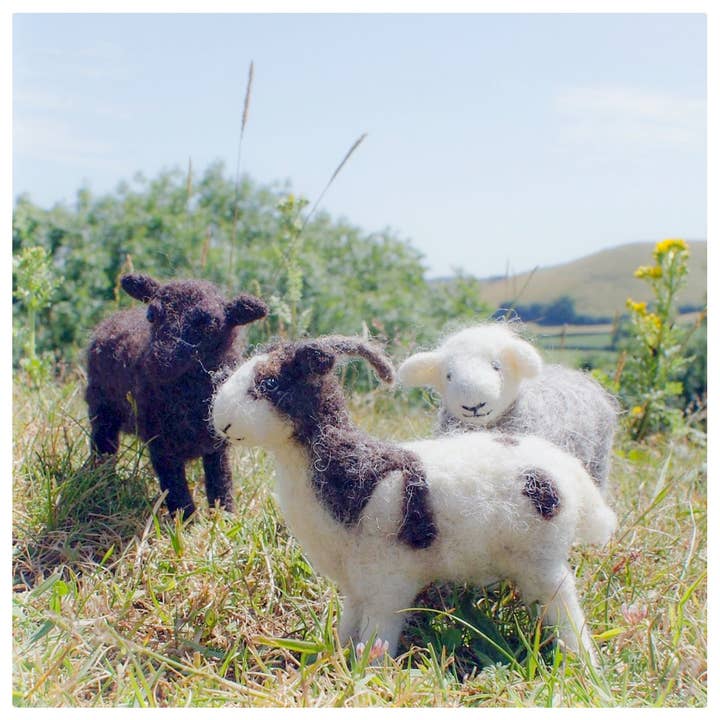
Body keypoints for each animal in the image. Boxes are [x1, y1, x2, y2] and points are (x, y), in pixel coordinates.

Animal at [85, 273, 268, 517]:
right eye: (151, 315)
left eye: (209, 325)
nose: (159, 362)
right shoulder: (160, 441)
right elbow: (176, 488)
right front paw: (186, 521)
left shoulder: (217, 442)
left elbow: (221, 480)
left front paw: (225, 516)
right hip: (102, 407)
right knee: (103, 444)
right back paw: (102, 479)